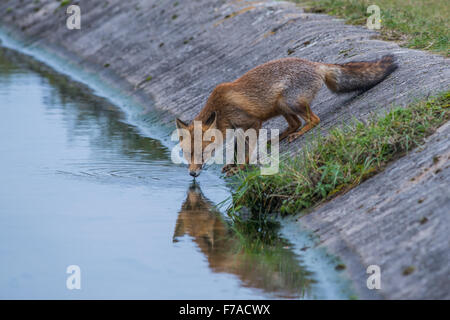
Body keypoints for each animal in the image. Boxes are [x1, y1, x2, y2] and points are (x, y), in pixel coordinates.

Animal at [176, 53, 398, 176]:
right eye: (186, 154)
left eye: (203, 153)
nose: (192, 174)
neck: (221, 108)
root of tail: (315, 64)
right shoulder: (237, 129)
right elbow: (238, 150)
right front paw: (232, 165)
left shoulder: (252, 123)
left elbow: (246, 151)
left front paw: (241, 167)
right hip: (282, 107)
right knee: (294, 124)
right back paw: (277, 138)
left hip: (288, 102)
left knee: (312, 120)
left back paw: (298, 134)